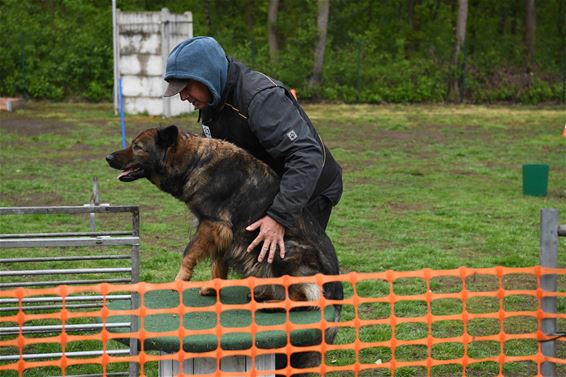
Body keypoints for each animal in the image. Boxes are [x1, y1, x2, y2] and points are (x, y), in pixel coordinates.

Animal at [107, 126, 346, 332]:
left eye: (137, 147)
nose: (108, 157)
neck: (194, 162)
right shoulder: (221, 233)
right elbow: (218, 264)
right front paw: (213, 287)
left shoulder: (213, 224)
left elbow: (188, 253)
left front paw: (180, 279)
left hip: (282, 249)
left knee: (305, 299)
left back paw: (271, 303)